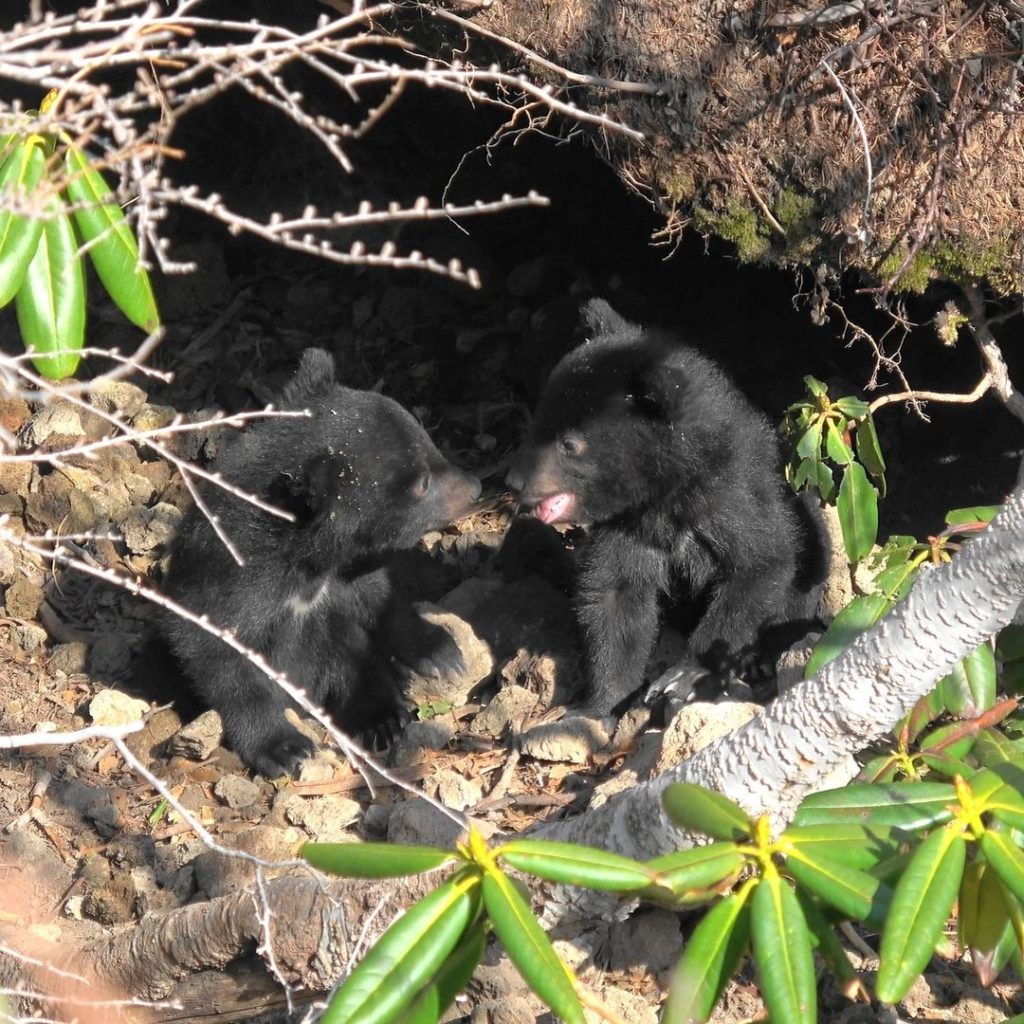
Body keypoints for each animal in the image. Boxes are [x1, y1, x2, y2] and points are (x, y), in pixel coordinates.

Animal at [159, 348, 481, 777]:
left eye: (429, 444)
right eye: (422, 484)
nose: (476, 487)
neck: (307, 564)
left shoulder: (347, 572)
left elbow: (379, 598)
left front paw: (440, 652)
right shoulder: (228, 582)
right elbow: (218, 653)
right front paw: (285, 748)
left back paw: (383, 719)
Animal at [505, 299, 827, 719]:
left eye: (570, 444)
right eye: (538, 421)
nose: (514, 482)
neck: (663, 496)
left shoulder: (730, 496)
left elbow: (761, 563)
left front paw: (685, 676)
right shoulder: (628, 527)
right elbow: (615, 598)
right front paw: (594, 708)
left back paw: (763, 658)